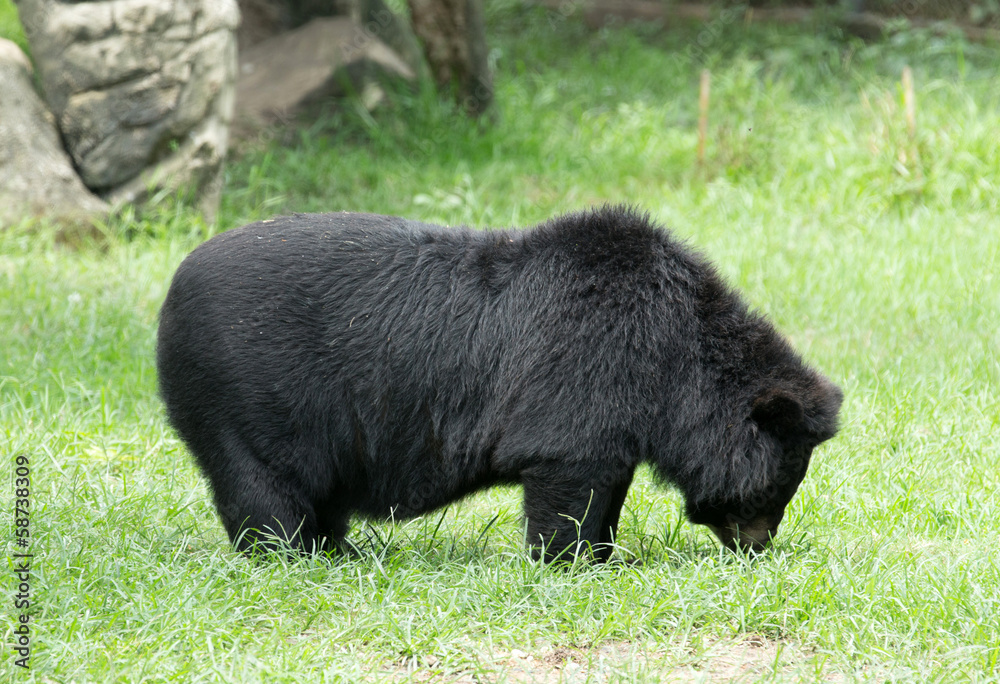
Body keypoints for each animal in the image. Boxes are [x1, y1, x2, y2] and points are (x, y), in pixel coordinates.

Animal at [156, 206, 842, 562]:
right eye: (776, 489)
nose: (758, 547)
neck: (674, 354)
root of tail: (171, 294)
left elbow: (607, 484)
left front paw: (605, 555)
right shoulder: (581, 375)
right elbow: (567, 477)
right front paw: (566, 563)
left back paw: (338, 550)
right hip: (246, 397)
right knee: (263, 488)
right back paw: (291, 555)